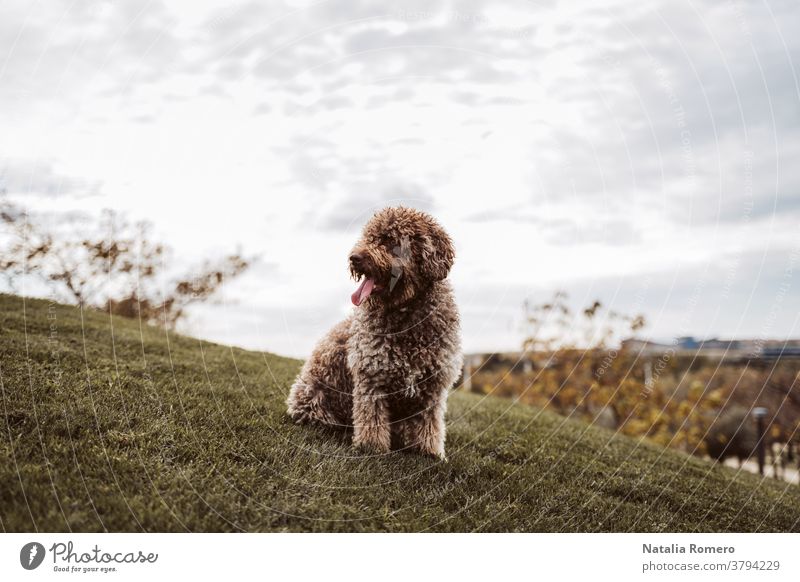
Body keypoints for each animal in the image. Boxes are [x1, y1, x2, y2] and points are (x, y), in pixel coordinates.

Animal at [288, 208, 462, 458]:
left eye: (391, 241)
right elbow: (372, 418)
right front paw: (372, 448)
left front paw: (428, 452)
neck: (405, 311)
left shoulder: (432, 386)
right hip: (314, 398)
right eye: (368, 237)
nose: (354, 257)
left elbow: (429, 423)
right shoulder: (371, 377)